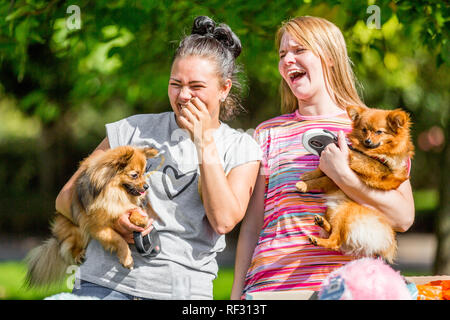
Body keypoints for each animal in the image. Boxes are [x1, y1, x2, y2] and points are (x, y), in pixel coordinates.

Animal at [25, 145, 158, 288]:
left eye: (144, 173)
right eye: (134, 175)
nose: (146, 186)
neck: (113, 192)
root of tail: (57, 237)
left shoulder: (123, 206)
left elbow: (131, 210)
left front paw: (140, 219)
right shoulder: (96, 226)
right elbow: (118, 239)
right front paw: (127, 258)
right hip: (76, 231)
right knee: (69, 248)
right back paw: (78, 255)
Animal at [296, 105, 414, 262]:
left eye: (379, 132)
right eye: (364, 130)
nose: (368, 141)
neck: (371, 154)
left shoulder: (339, 174)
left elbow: (321, 179)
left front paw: (304, 185)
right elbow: (320, 170)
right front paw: (308, 175)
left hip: (345, 214)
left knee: (336, 241)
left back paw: (318, 240)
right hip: (333, 210)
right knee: (334, 233)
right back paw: (322, 223)